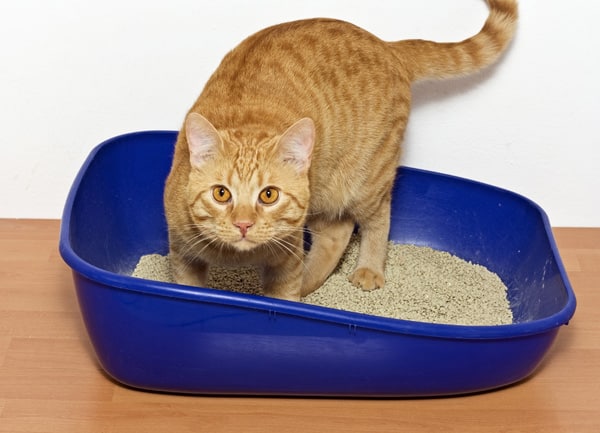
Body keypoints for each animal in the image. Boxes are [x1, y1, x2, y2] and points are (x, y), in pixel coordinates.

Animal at [163, 0, 516, 300]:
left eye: (269, 195)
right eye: (221, 194)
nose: (243, 224)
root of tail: (386, 44)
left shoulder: (287, 259)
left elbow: (282, 296)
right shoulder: (182, 255)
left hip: (367, 179)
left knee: (377, 217)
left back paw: (367, 269)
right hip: (323, 189)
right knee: (339, 230)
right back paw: (311, 282)